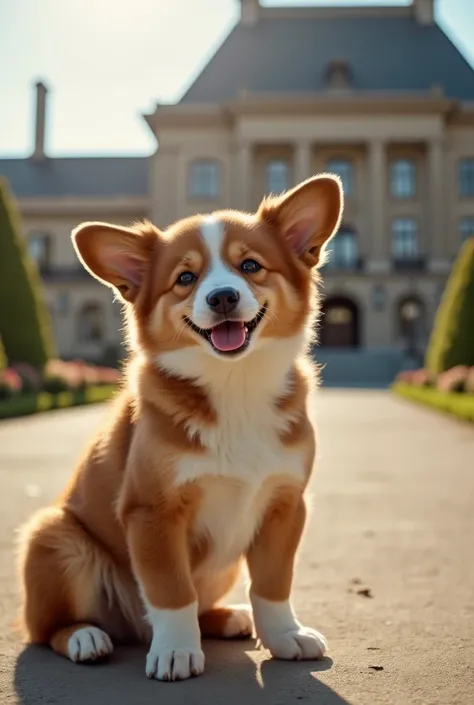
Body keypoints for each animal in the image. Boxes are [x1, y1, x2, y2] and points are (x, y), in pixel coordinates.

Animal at [16, 173, 342, 680]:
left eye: (250, 265)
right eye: (186, 278)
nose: (223, 296)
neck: (234, 386)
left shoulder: (285, 503)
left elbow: (273, 583)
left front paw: (285, 635)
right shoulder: (153, 511)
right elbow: (172, 592)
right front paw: (175, 651)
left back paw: (229, 618)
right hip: (53, 536)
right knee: (47, 630)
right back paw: (87, 637)